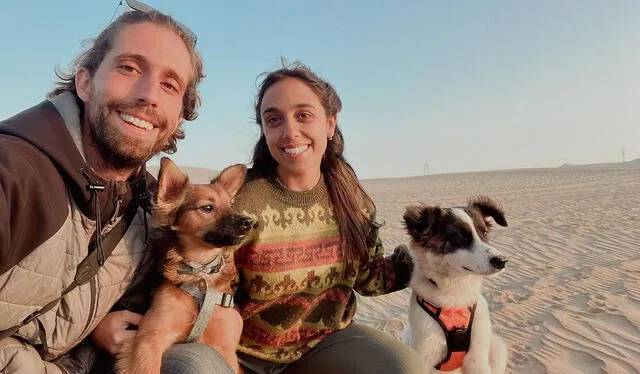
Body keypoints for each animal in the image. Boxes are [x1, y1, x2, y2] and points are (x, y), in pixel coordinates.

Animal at [116, 157, 251, 374]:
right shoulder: (148, 341)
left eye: (231, 205)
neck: (201, 275)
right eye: (207, 208)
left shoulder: (226, 350)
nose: (248, 222)